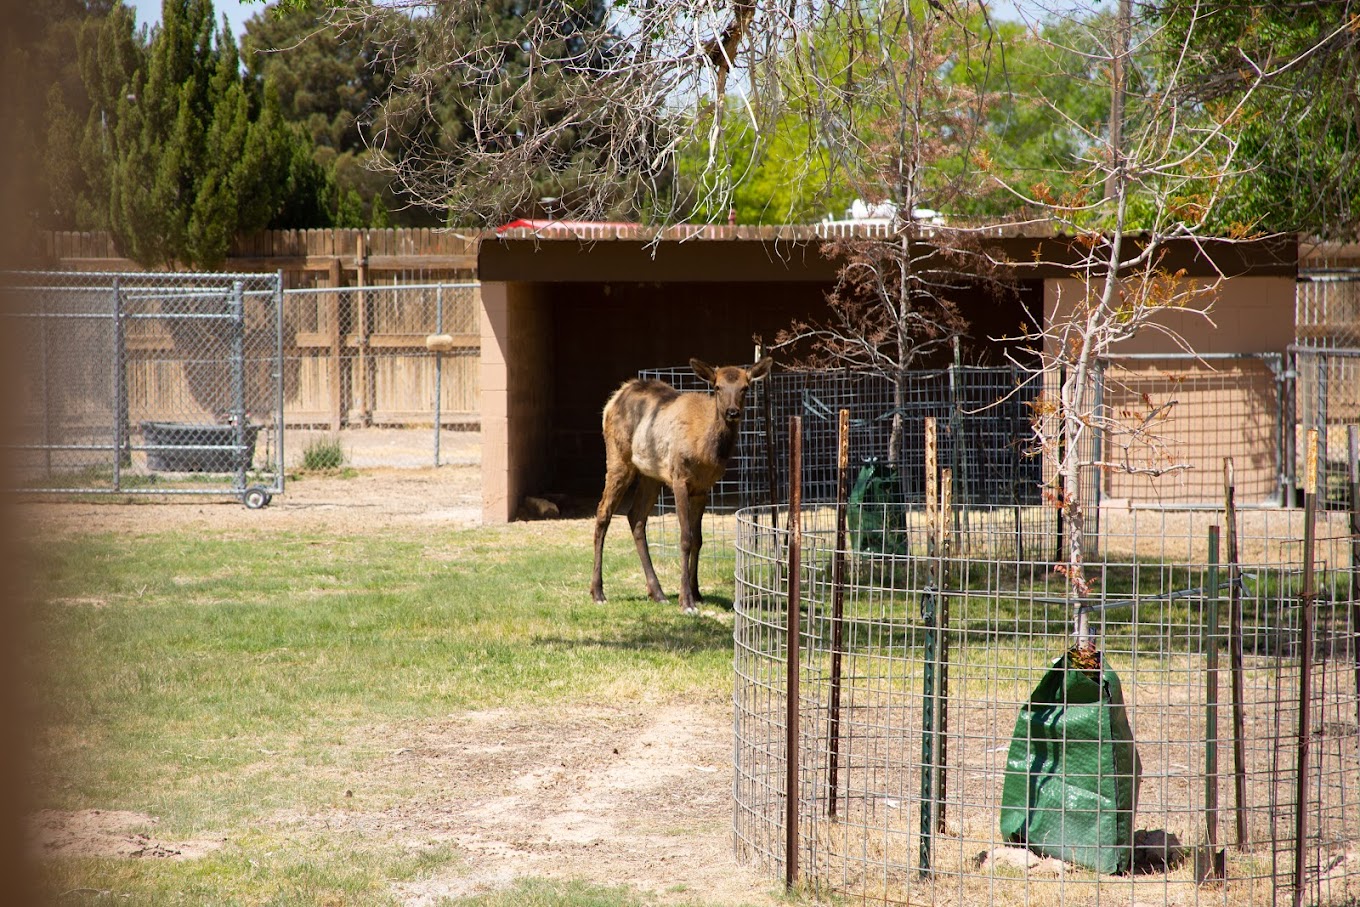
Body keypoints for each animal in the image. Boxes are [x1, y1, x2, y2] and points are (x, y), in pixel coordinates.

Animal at [587, 358, 772, 614]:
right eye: (717, 387)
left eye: (745, 387)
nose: (732, 412)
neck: (707, 450)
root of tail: (613, 400)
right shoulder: (679, 478)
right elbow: (685, 538)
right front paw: (686, 601)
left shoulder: (704, 488)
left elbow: (698, 540)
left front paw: (697, 593)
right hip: (619, 459)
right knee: (603, 512)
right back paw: (598, 593)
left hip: (651, 474)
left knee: (636, 517)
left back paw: (657, 592)